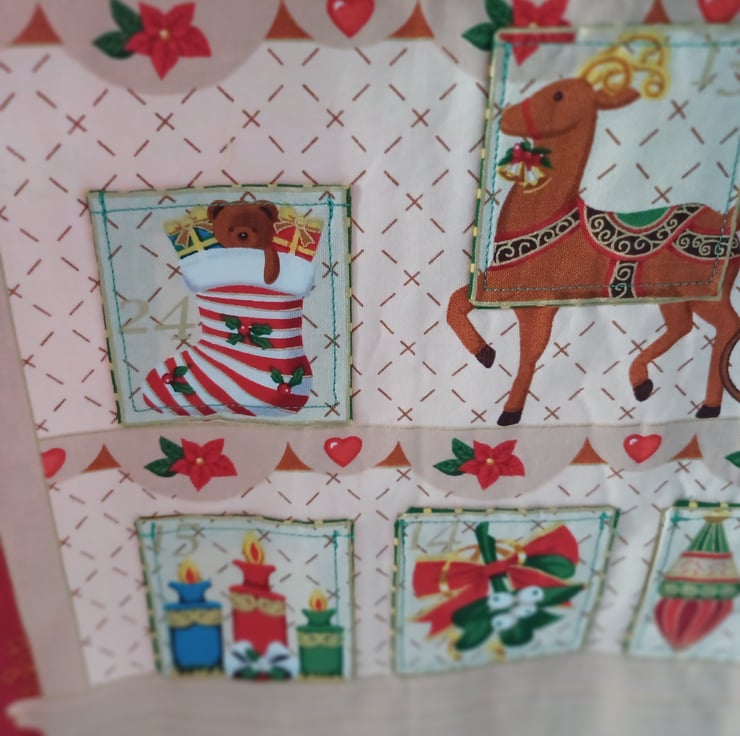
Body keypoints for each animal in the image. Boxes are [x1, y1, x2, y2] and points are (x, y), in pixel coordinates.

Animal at [447, 33, 740, 426]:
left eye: (558, 94)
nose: (506, 116)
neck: (546, 217)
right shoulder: (497, 289)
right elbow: (455, 304)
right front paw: (486, 352)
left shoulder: (538, 305)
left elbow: (529, 353)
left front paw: (509, 410)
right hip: (670, 294)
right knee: (686, 326)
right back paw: (645, 385)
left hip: (701, 291)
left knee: (725, 326)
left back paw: (704, 403)